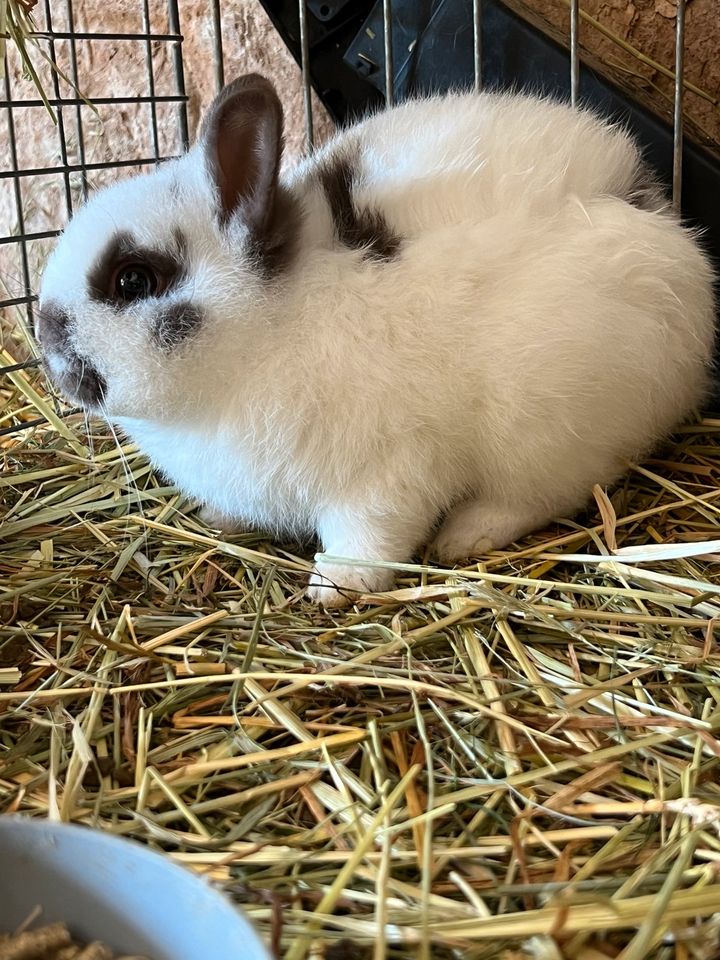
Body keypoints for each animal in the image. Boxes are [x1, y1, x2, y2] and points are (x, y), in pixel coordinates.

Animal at [38, 73, 716, 608]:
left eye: (132, 279)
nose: (44, 336)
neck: (264, 333)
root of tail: (665, 224)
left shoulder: (388, 475)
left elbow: (369, 536)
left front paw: (333, 588)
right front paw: (218, 518)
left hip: (548, 428)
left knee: (538, 494)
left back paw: (463, 537)